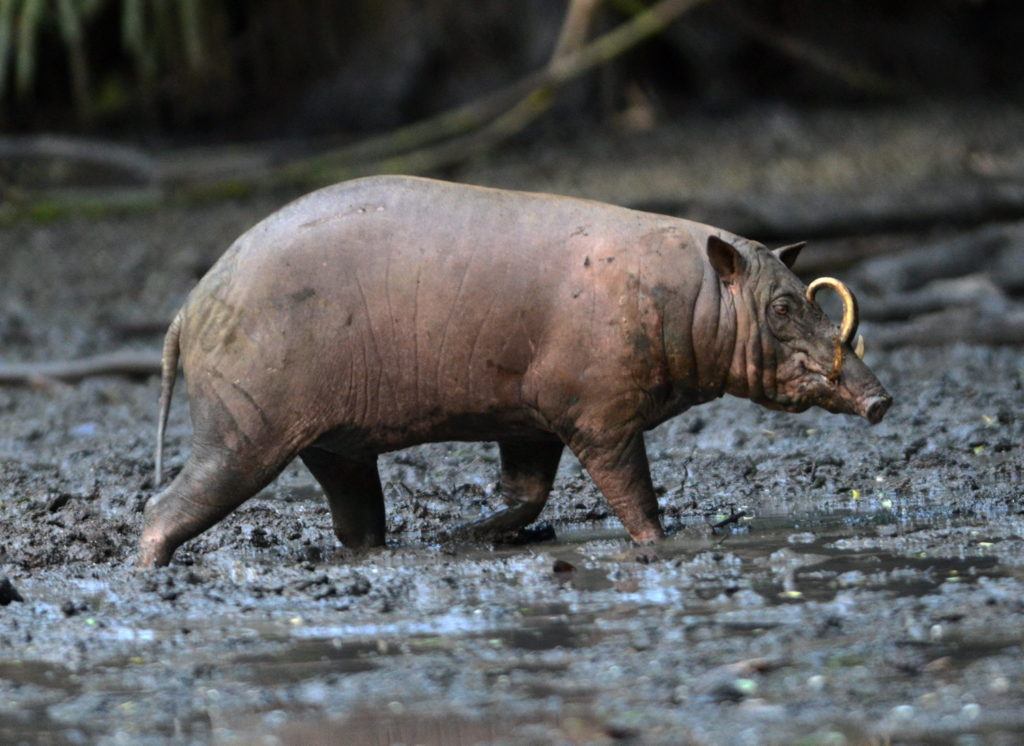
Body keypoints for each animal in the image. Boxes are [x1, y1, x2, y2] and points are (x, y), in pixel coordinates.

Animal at [139, 175, 891, 567]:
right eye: (783, 306)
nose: (879, 400)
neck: (692, 299)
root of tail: (185, 311)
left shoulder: (533, 420)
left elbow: (525, 494)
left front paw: (461, 537)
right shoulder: (600, 414)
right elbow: (632, 496)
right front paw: (661, 546)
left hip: (334, 444)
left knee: (357, 521)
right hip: (246, 425)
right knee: (164, 508)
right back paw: (149, 569)